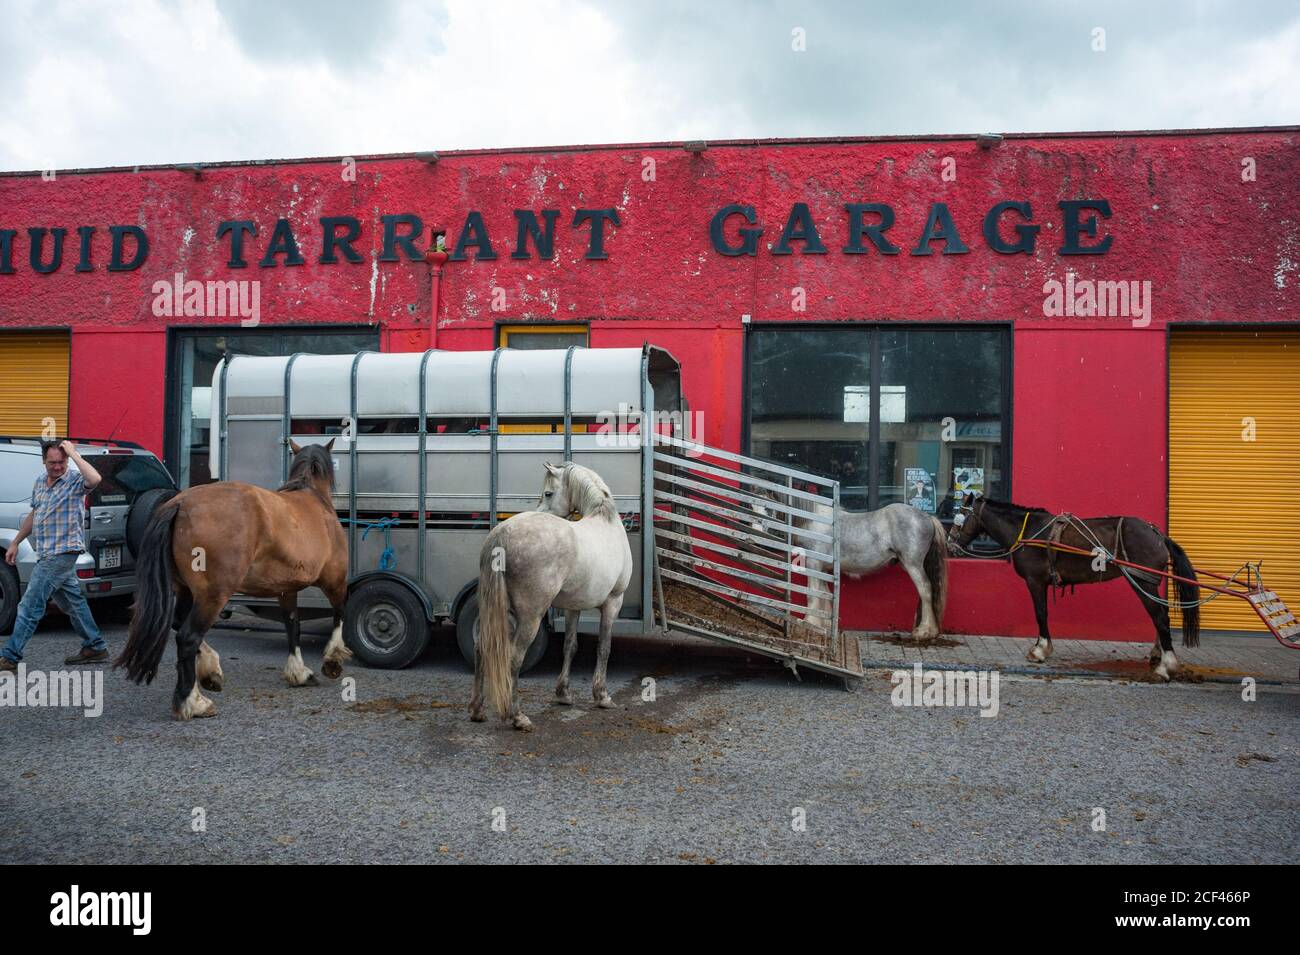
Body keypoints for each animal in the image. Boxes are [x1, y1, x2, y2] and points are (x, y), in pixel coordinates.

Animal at [115, 441, 351, 719]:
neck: (313, 499)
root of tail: (181, 503)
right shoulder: (335, 580)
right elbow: (339, 615)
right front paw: (333, 659)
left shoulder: (286, 590)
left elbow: (292, 625)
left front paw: (299, 672)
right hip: (213, 595)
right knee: (187, 637)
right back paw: (192, 702)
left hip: (186, 591)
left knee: (178, 623)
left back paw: (209, 672)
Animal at [470, 462, 632, 731]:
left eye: (548, 493)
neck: (605, 522)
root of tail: (503, 533)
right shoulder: (613, 602)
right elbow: (604, 647)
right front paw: (602, 696)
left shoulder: (573, 608)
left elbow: (570, 646)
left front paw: (563, 694)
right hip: (530, 617)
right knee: (514, 658)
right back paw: (518, 717)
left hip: (493, 613)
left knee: (482, 648)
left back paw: (477, 710)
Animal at [752, 493, 948, 640]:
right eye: (752, 508)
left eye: (768, 508)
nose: (756, 534)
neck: (812, 522)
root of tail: (927, 517)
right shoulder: (822, 569)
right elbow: (824, 594)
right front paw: (825, 624)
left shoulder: (814, 564)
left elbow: (813, 595)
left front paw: (809, 622)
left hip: (913, 564)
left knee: (925, 589)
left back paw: (925, 631)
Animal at [946, 493, 1200, 680]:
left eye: (960, 516)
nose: (950, 544)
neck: (1027, 532)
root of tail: (1157, 534)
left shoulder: (1035, 581)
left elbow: (1041, 613)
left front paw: (1040, 649)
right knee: (1160, 613)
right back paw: (1157, 654)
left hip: (1142, 580)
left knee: (1160, 617)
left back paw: (1166, 665)